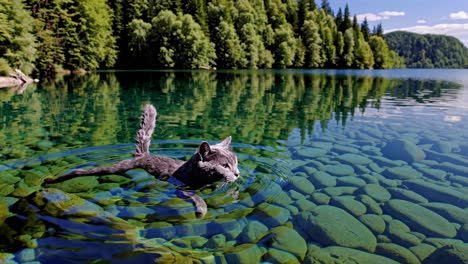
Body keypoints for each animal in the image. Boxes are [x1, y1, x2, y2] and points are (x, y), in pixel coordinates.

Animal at [43, 104, 241, 218]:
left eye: (236, 163)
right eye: (225, 165)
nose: (238, 174)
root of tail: (143, 155)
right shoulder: (181, 187)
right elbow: (196, 196)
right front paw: (202, 208)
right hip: (116, 167)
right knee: (82, 171)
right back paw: (50, 180)